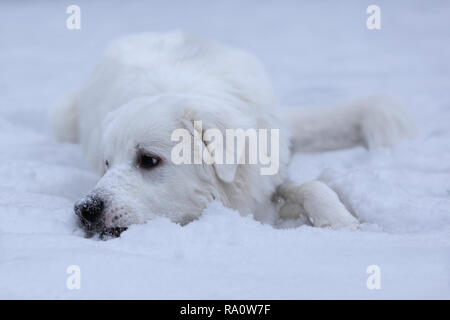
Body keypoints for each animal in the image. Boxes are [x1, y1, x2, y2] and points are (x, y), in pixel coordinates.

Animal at [50, 31, 414, 238]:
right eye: (106, 164)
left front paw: (341, 222)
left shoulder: (267, 180)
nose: (84, 209)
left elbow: (311, 186)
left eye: (148, 160)